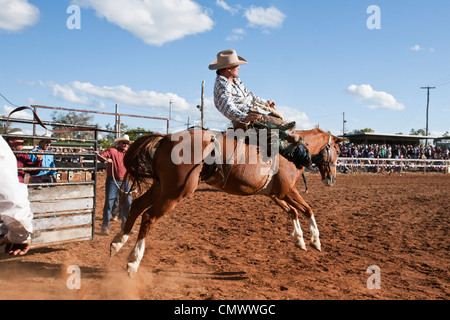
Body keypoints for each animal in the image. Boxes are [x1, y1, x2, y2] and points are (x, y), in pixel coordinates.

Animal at [109, 126, 344, 274]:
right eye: (338, 150)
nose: (332, 179)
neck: (292, 152)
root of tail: (166, 137)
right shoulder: (287, 191)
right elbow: (307, 209)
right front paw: (315, 240)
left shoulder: (275, 194)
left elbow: (294, 211)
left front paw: (300, 240)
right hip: (175, 192)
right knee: (148, 216)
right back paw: (133, 261)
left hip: (161, 186)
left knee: (137, 206)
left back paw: (117, 243)